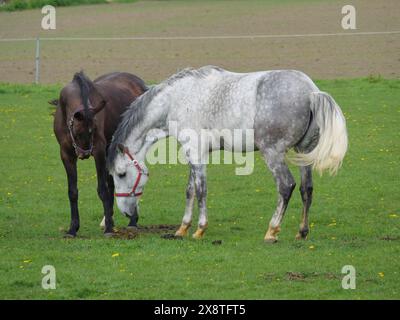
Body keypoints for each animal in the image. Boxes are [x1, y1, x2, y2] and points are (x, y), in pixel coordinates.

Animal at [50, 72, 148, 238]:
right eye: (77, 132)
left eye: (94, 129)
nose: (84, 154)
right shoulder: (66, 154)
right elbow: (73, 192)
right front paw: (73, 229)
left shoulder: (99, 152)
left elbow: (102, 189)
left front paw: (109, 228)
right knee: (112, 182)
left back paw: (132, 221)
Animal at [106, 67, 346, 242]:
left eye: (121, 174)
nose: (127, 213)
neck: (176, 99)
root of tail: (310, 92)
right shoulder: (195, 154)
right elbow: (190, 190)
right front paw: (182, 228)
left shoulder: (195, 152)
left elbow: (201, 190)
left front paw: (200, 229)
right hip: (303, 152)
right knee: (307, 189)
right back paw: (302, 232)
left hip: (273, 153)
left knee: (286, 186)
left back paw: (272, 231)